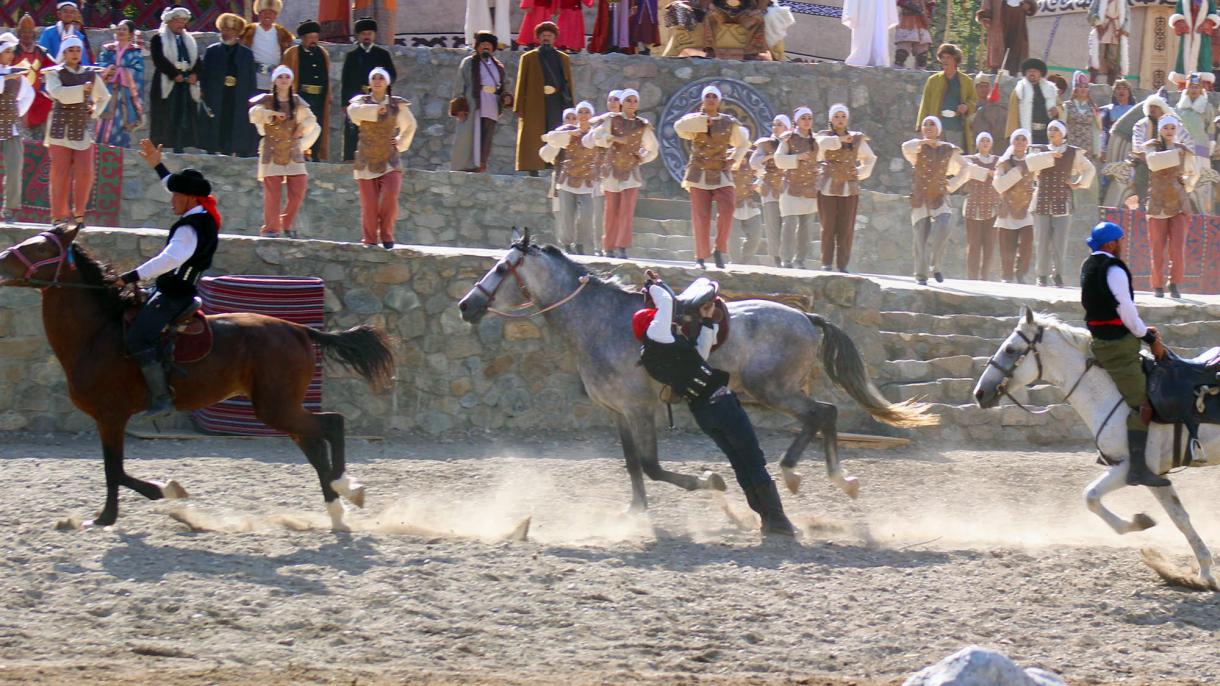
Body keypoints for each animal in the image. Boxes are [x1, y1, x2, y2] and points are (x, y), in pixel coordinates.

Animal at [0, 227, 392, 524]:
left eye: (40, 247)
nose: (2, 258)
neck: (99, 333)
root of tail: (297, 329)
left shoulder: (110, 417)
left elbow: (115, 470)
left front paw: (113, 514)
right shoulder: (107, 419)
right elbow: (117, 470)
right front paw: (153, 495)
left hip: (275, 407)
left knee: (333, 424)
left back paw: (345, 487)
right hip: (281, 408)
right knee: (316, 443)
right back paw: (337, 508)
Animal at [458, 234, 932, 507]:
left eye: (500, 268)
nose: (466, 305)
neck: (600, 322)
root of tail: (804, 317)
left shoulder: (639, 409)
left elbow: (651, 465)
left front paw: (711, 482)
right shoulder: (618, 412)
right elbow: (632, 465)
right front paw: (635, 513)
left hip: (772, 390)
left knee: (823, 413)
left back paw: (807, 474)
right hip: (773, 391)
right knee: (824, 415)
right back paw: (828, 477)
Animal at [971, 305, 1220, 588]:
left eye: (1010, 349)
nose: (980, 393)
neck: (1114, 393)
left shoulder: (1132, 468)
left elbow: (1090, 496)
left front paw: (1137, 523)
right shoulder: (1157, 476)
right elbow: (1180, 517)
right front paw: (1204, 572)